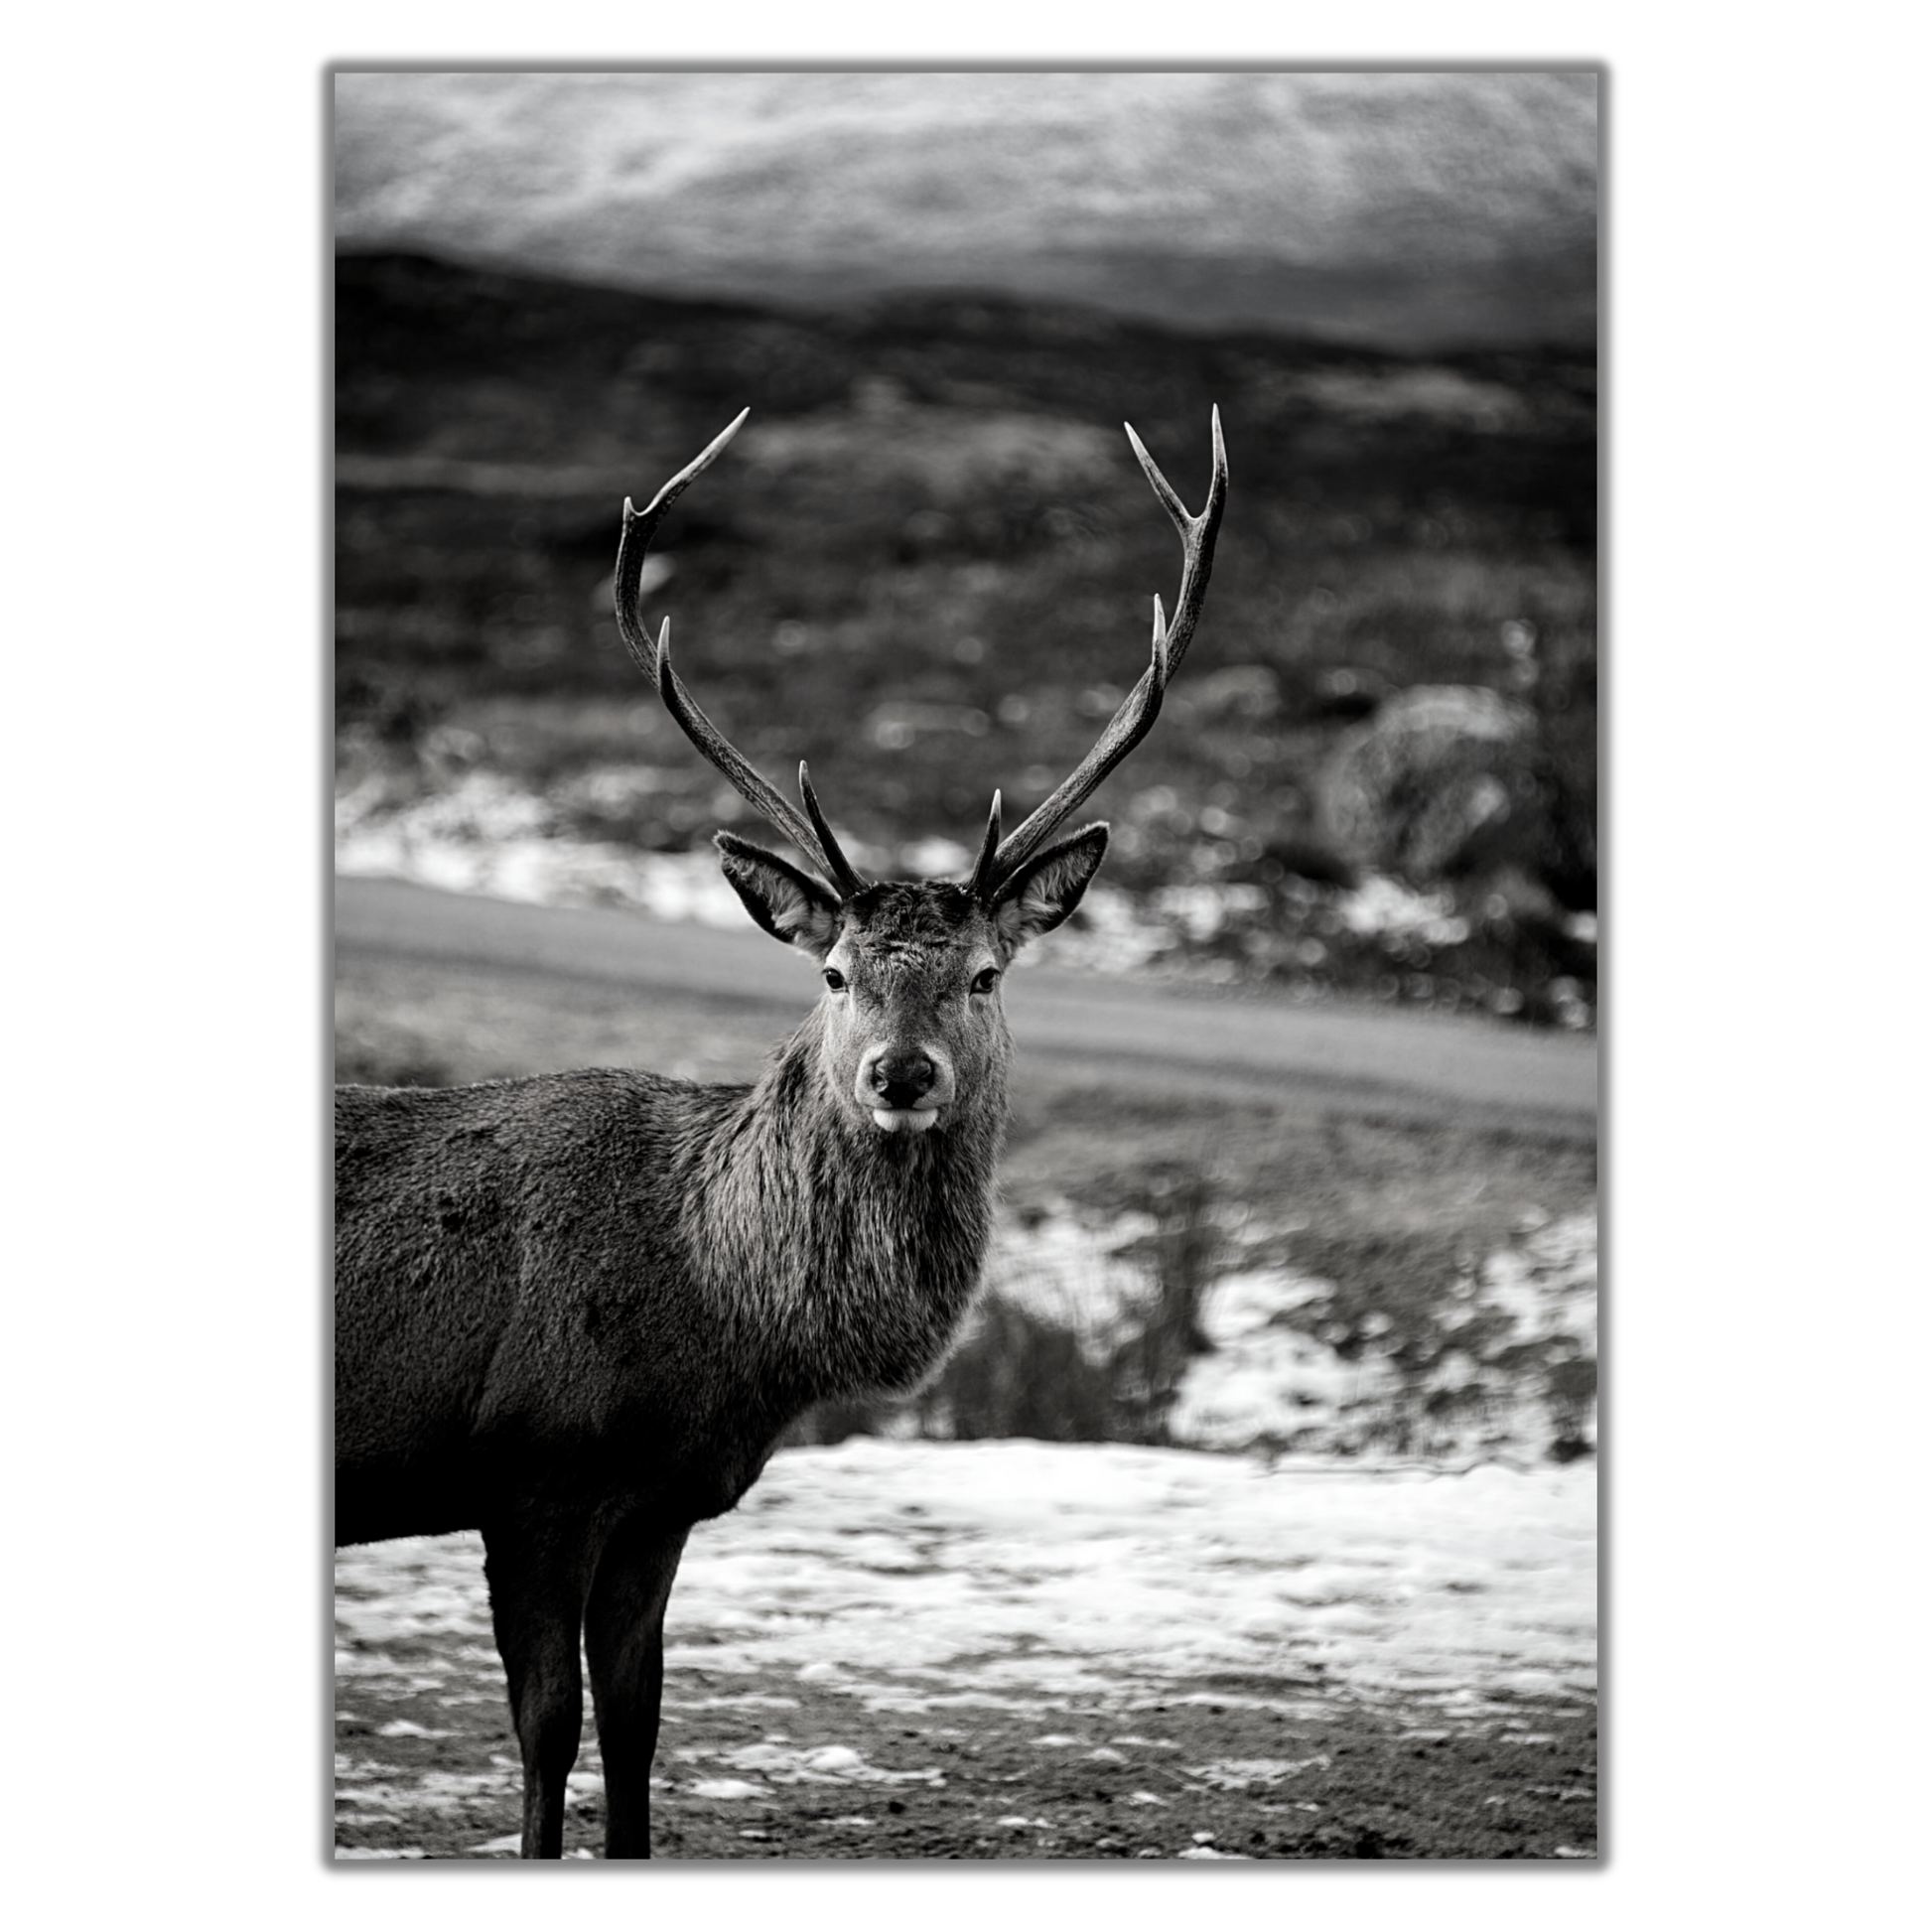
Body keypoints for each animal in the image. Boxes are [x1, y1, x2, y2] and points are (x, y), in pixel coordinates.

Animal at [334, 404, 1228, 1859]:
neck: (719, 1319)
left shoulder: (659, 1501)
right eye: (834, 970)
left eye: (986, 972)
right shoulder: (531, 1469)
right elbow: (546, 1734)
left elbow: (638, 1736)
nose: (900, 1072)